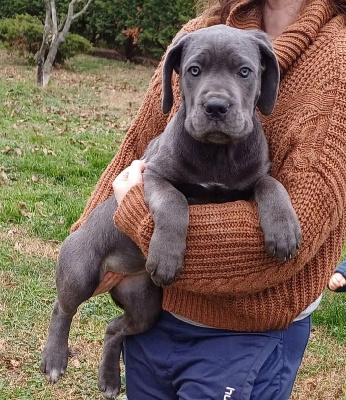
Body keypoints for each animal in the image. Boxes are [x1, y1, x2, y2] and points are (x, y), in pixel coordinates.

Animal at [39, 25, 300, 400]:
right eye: (194, 70)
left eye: (244, 71)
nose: (216, 106)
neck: (218, 154)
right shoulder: (153, 175)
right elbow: (175, 203)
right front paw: (166, 257)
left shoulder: (253, 178)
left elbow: (271, 184)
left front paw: (283, 229)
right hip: (81, 269)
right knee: (63, 307)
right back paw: (54, 359)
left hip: (145, 304)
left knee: (115, 328)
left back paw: (109, 379)